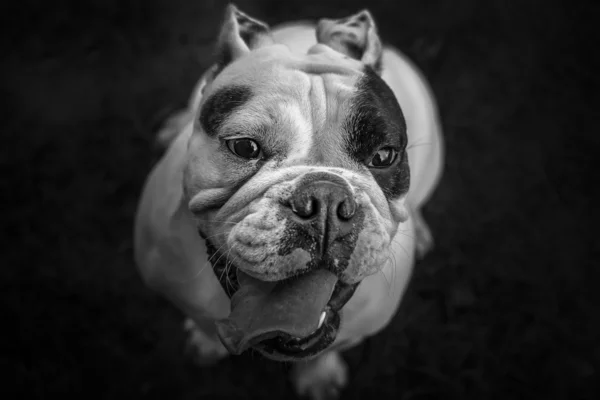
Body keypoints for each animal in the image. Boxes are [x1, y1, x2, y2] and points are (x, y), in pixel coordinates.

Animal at [134, 4, 442, 398]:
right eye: (244, 146)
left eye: (384, 155)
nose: (326, 198)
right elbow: (202, 322)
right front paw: (204, 343)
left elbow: (323, 353)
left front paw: (318, 377)